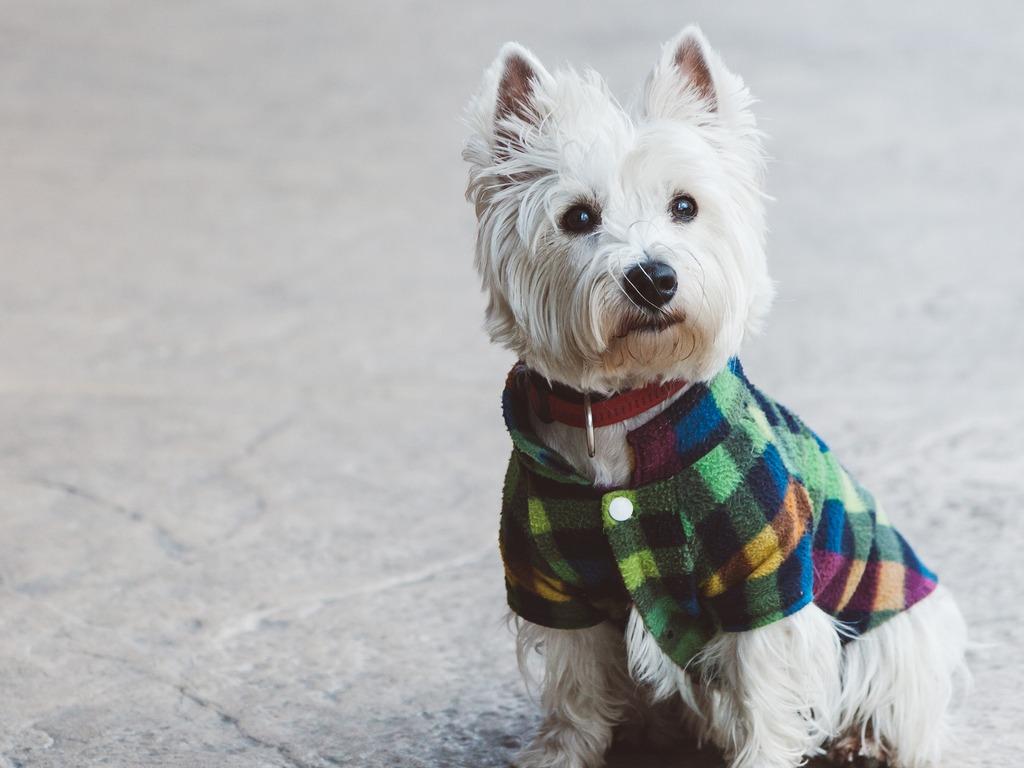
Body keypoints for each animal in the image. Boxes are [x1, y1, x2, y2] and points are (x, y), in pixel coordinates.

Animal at [464, 25, 966, 768]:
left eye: (685, 206)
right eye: (578, 217)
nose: (653, 278)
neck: (623, 410)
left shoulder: (764, 580)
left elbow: (767, 692)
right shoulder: (553, 584)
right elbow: (574, 687)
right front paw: (560, 753)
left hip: (897, 631)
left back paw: (863, 740)